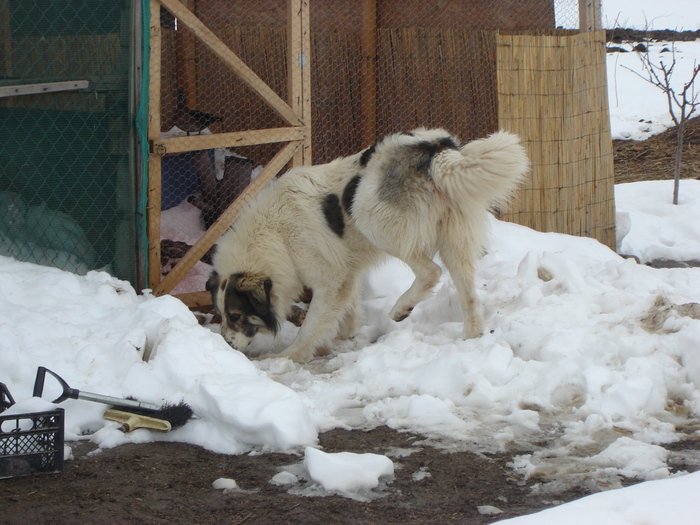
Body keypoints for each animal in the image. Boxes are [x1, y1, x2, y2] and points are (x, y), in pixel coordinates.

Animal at [211, 129, 528, 362]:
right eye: (223, 315)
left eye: (235, 316)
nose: (225, 344)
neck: (273, 233)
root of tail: (434, 148)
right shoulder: (347, 275)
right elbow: (346, 312)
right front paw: (344, 339)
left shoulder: (330, 279)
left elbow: (310, 326)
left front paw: (287, 357)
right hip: (454, 241)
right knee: (469, 296)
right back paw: (471, 339)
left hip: (370, 217)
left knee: (431, 272)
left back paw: (402, 307)